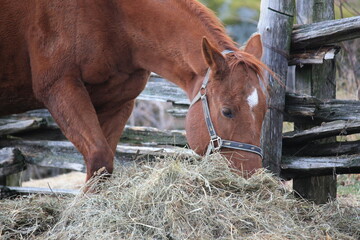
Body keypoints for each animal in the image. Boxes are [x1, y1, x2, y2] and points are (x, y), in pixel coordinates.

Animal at [0, 0, 268, 180]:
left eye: (264, 112)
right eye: (227, 111)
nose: (251, 175)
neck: (112, 18)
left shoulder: (118, 102)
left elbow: (102, 166)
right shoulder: (60, 88)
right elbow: (99, 158)